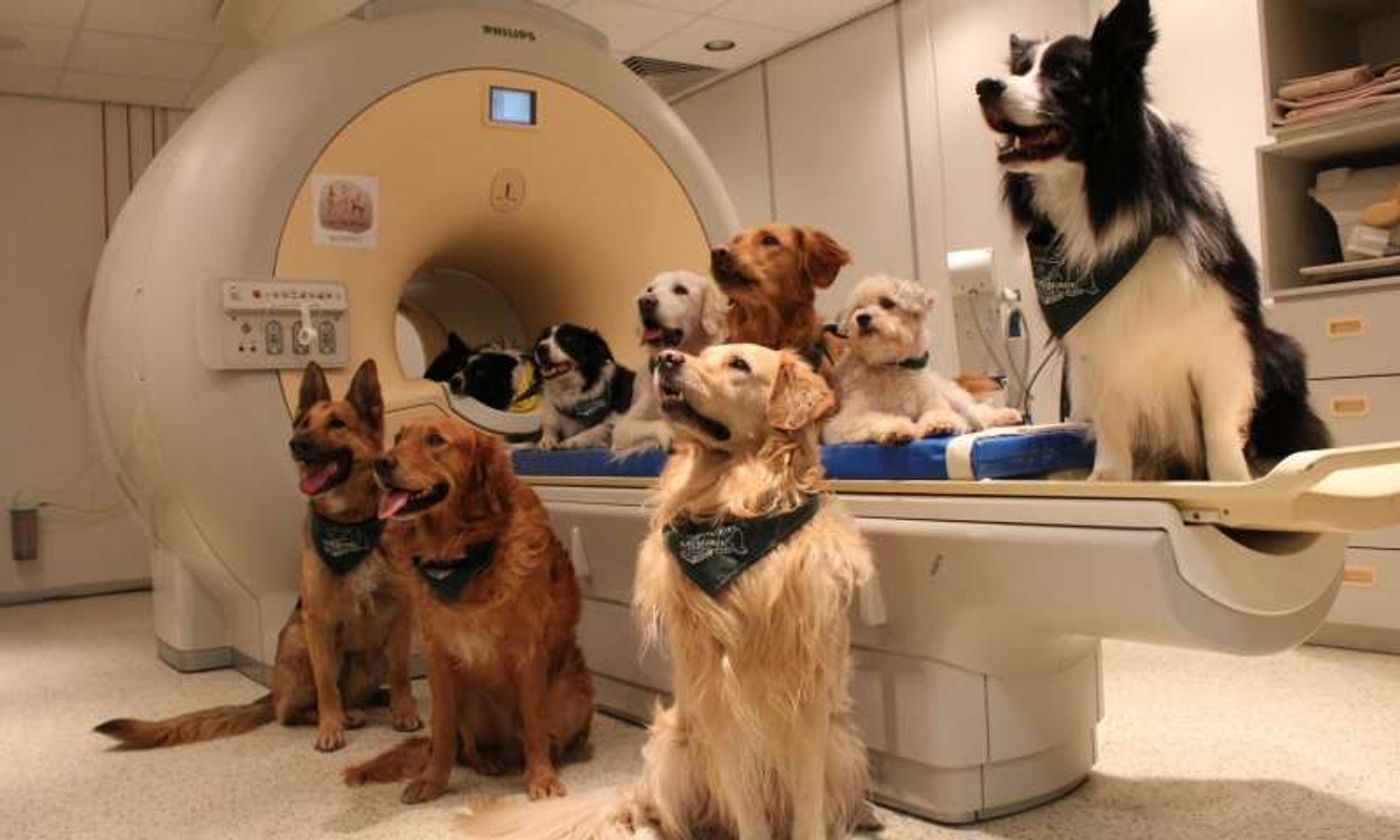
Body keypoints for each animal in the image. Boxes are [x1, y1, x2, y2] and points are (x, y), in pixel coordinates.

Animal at [96, 357, 417, 750]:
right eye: (303, 424)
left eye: (337, 424)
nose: (296, 444)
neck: (352, 526)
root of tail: (272, 690)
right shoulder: (318, 623)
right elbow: (327, 687)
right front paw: (330, 728)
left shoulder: (400, 618)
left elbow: (402, 674)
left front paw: (405, 711)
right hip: (298, 641)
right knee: (290, 711)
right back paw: (341, 716)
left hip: (368, 658)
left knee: (357, 693)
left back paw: (376, 701)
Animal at [350, 417, 596, 806]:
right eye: (398, 437)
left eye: (435, 440)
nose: (380, 462)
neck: (460, 552)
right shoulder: (437, 655)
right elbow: (444, 734)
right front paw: (432, 782)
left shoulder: (529, 652)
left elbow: (535, 723)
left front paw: (541, 777)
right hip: (468, 696)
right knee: (463, 745)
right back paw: (486, 761)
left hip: (575, 694)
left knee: (545, 736)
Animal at [823, 275, 1024, 445]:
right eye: (857, 308)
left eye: (888, 303)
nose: (862, 318)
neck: (892, 366)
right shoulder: (845, 419)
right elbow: (877, 418)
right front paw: (896, 428)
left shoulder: (933, 402)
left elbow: (939, 413)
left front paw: (939, 425)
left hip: (955, 398)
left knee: (979, 412)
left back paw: (1007, 415)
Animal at [980, 0, 1327, 478]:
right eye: (1019, 70)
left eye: (1064, 74)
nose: (984, 87)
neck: (1097, 194)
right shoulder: (1095, 348)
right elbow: (1110, 419)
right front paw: (1108, 477)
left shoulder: (1219, 331)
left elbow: (1218, 421)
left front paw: (1231, 478)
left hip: (1283, 351)